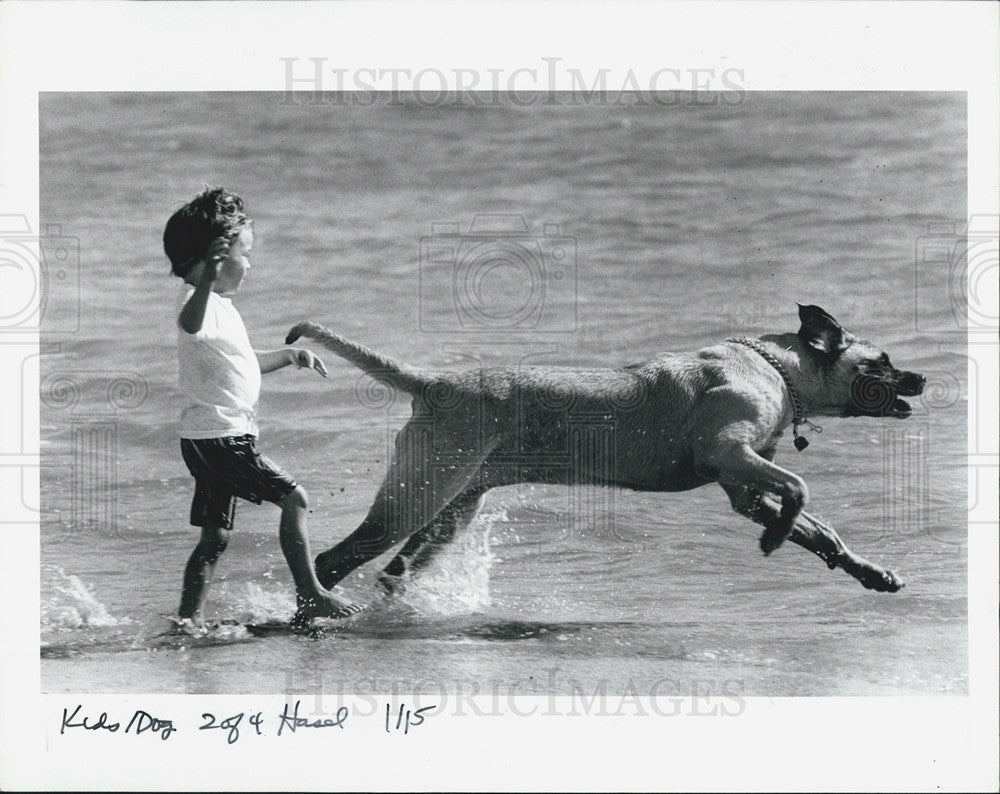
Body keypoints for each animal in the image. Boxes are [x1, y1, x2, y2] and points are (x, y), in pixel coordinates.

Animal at [286, 306, 924, 596]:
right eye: (881, 361)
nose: (922, 379)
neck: (775, 366)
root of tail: (434, 382)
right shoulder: (731, 452)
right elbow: (799, 490)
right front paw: (774, 539)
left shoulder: (742, 487)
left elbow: (819, 528)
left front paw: (867, 570)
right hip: (416, 498)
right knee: (333, 560)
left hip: (453, 506)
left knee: (393, 571)